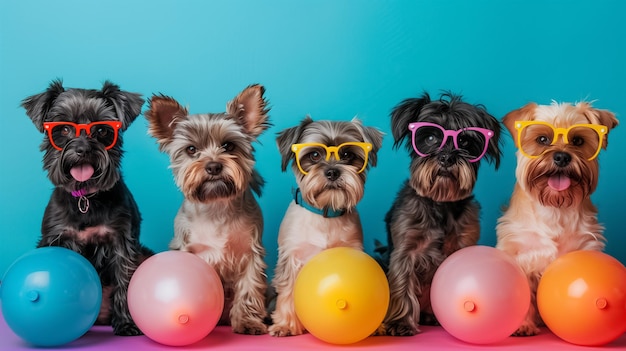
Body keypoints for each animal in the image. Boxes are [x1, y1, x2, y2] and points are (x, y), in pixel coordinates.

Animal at [23, 81, 154, 336]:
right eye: (64, 129)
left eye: (102, 130)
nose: (83, 150)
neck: (85, 198)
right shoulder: (56, 238)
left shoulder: (122, 243)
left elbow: (125, 282)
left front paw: (126, 324)